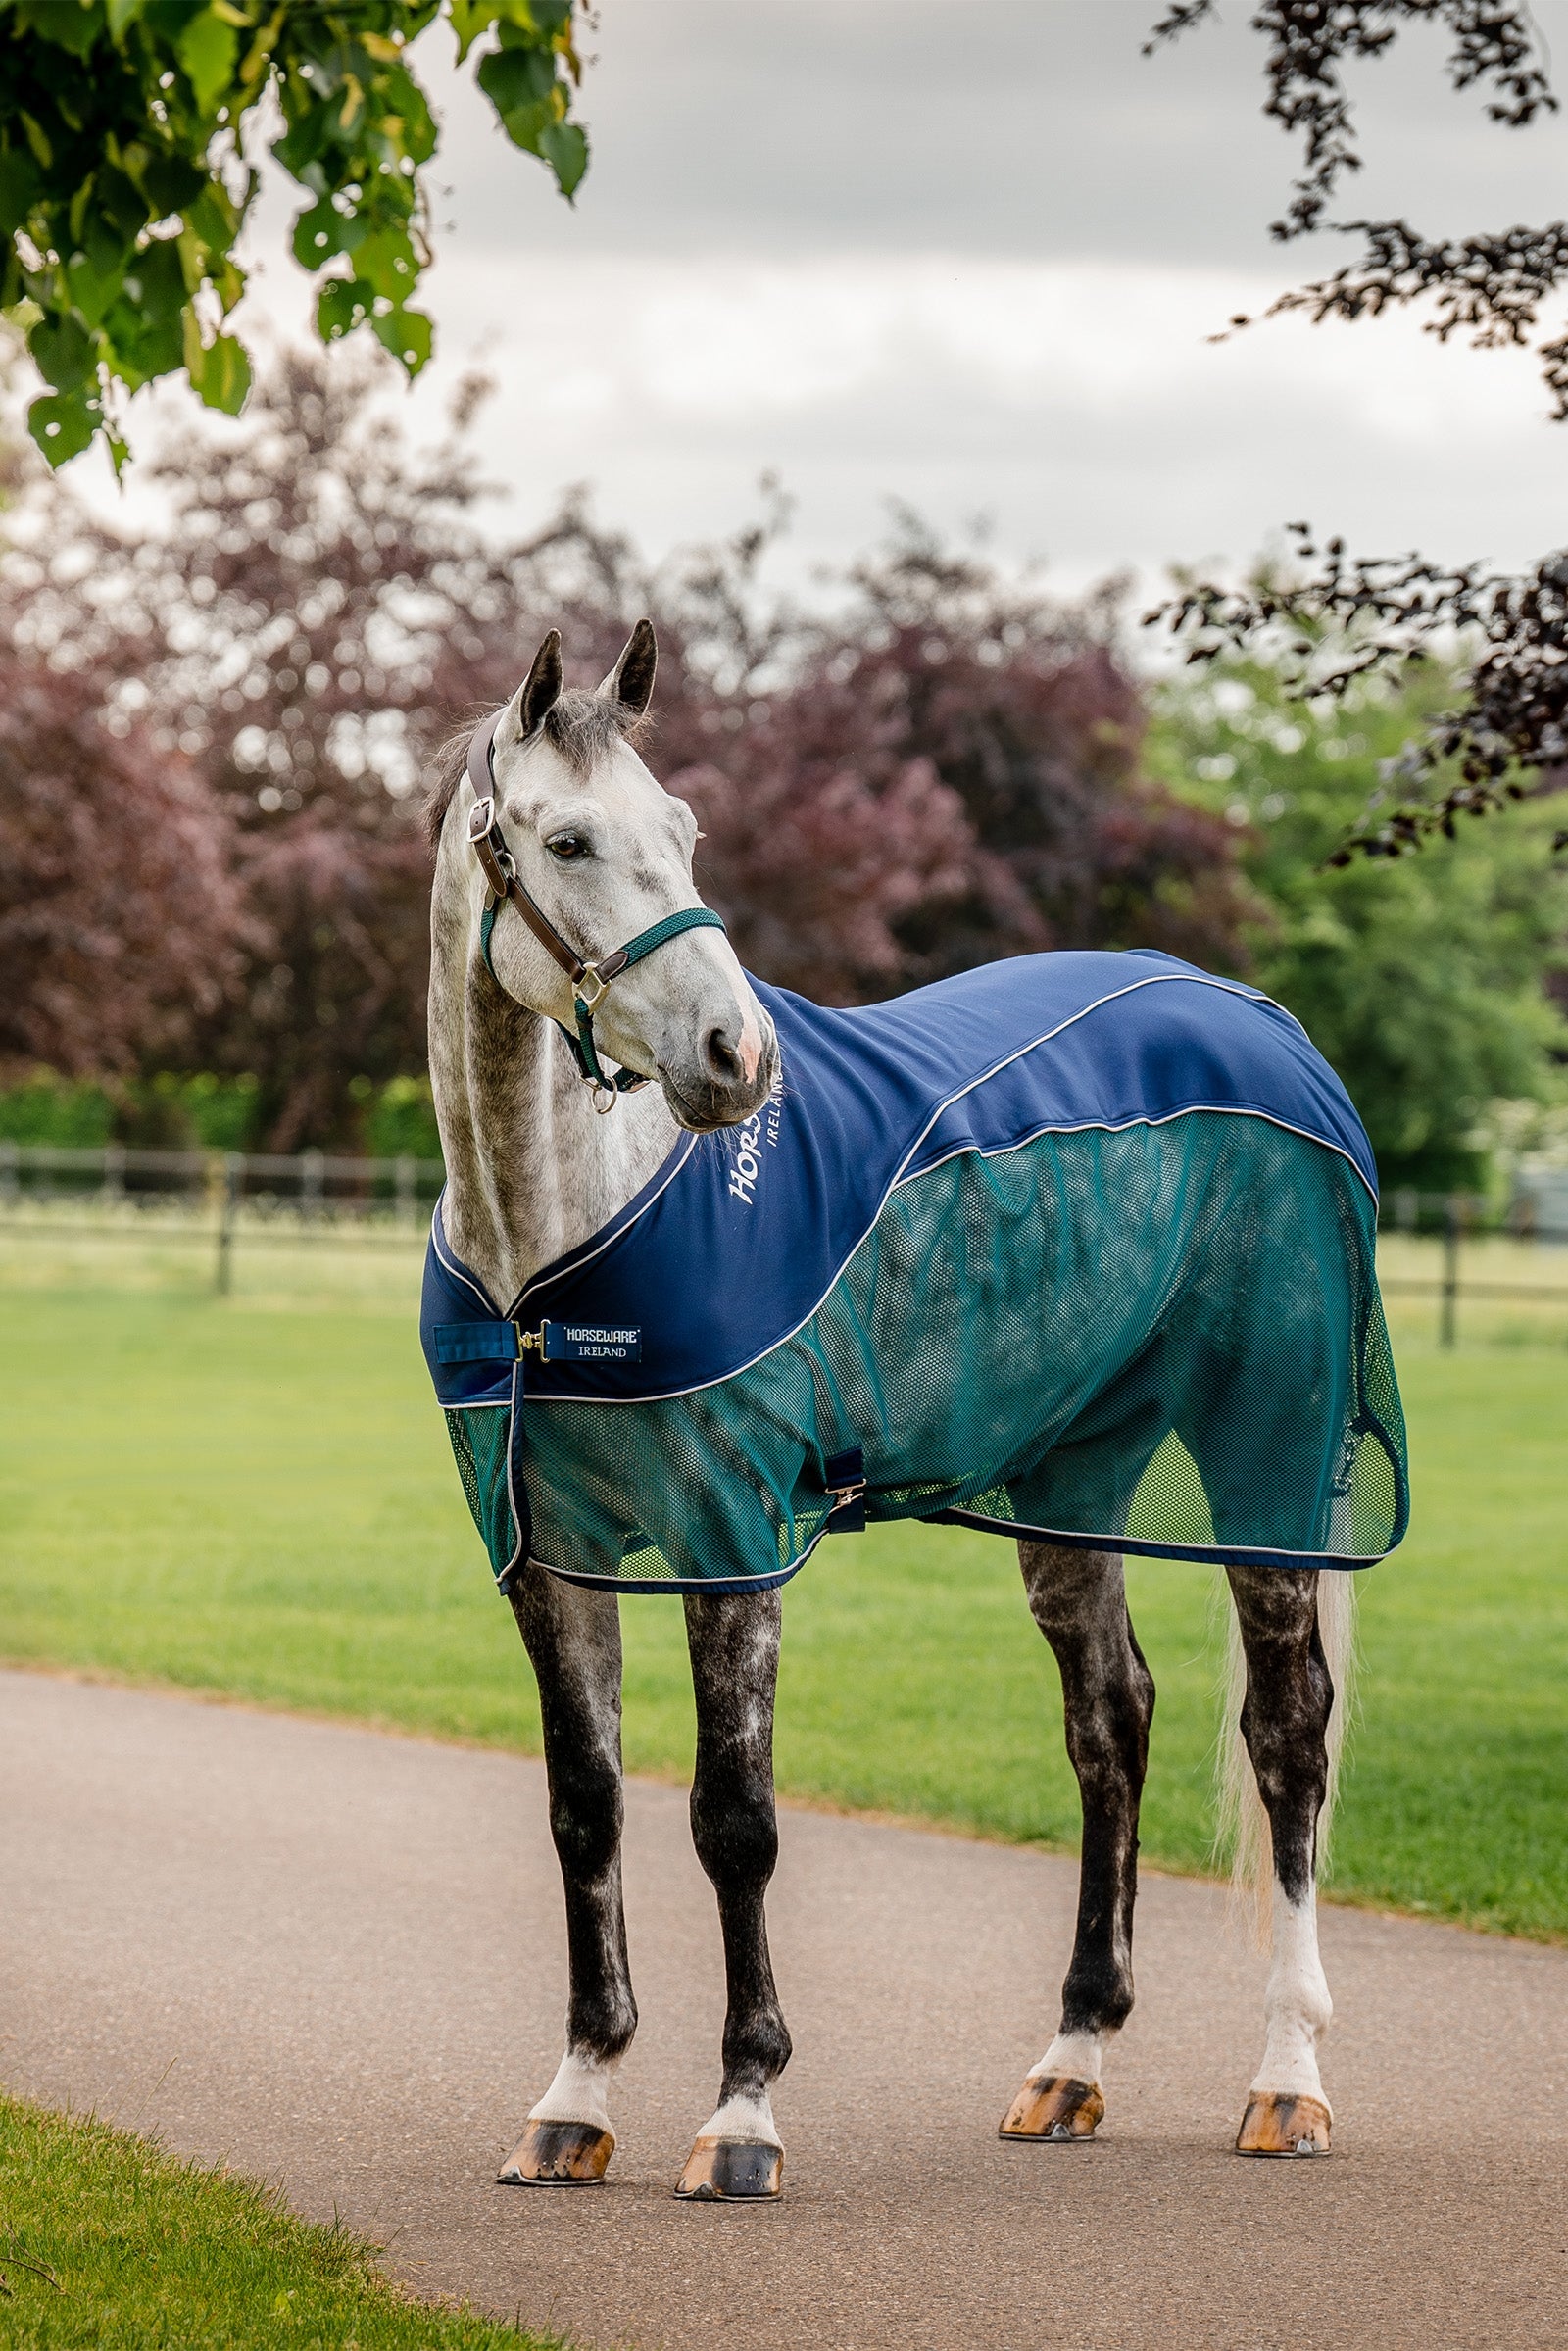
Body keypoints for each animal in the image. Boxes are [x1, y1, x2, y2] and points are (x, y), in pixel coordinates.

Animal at [422, 620, 1396, 2200]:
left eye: (684, 830)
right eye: (566, 840)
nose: (734, 1056)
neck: (561, 1239)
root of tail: (1260, 1020)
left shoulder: (730, 1537)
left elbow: (734, 1819)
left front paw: (742, 2111)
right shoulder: (546, 1557)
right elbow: (586, 1807)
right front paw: (574, 2097)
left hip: (1266, 1446)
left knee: (1288, 1735)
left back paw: (1287, 2077)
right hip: (1073, 1473)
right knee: (1110, 1719)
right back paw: (1071, 2057)